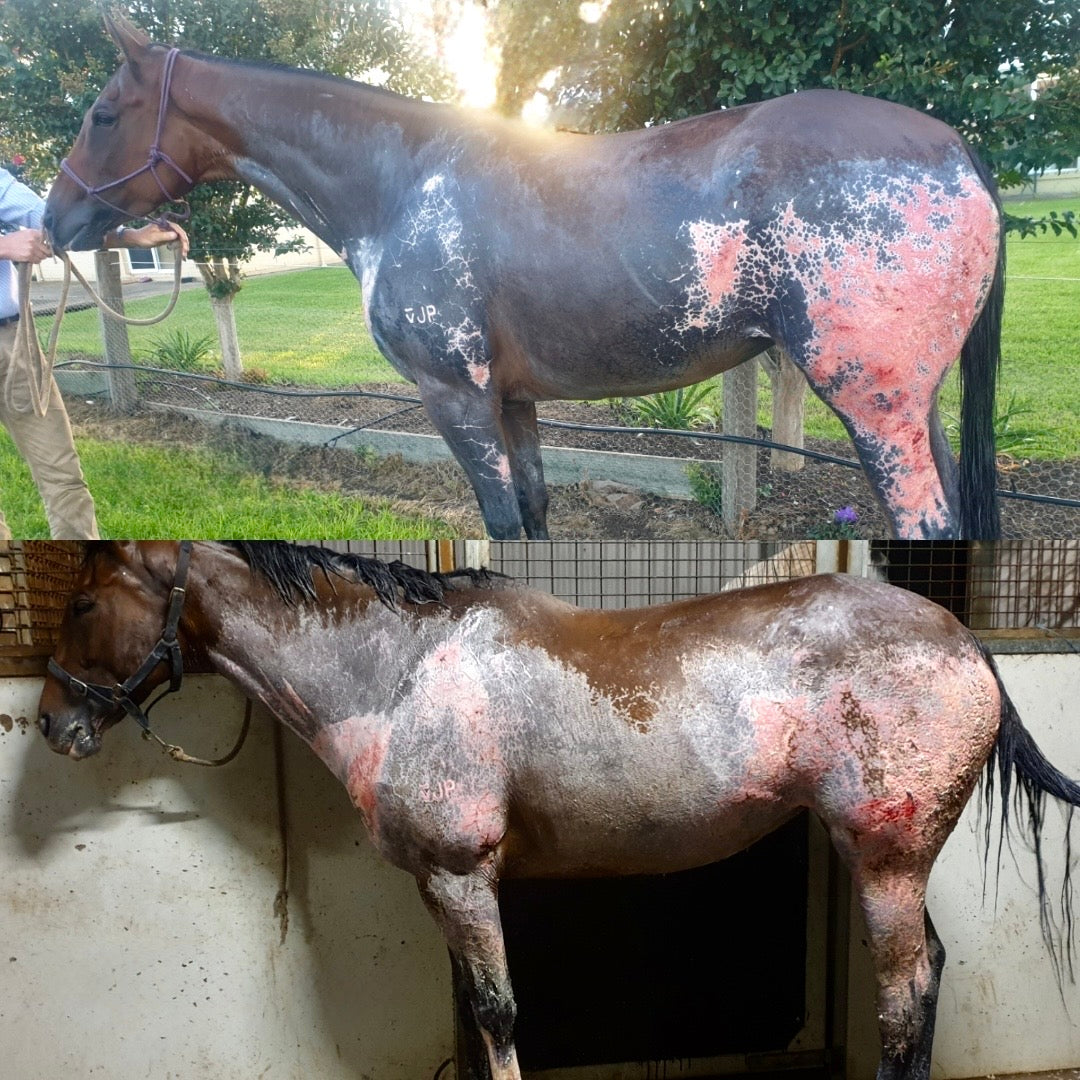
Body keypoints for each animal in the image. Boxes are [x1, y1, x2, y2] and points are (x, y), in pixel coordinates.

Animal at [37, 541, 1078, 1080]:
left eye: (83, 603)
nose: (50, 723)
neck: (396, 672)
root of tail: (964, 641)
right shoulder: (440, 890)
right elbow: (471, 1017)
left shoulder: (463, 875)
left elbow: (498, 1014)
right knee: (925, 979)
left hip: (885, 859)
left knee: (906, 993)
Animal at [42, 14, 1005, 541]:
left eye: (104, 114)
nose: (56, 222)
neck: (404, 182)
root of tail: (954, 149)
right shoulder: (513, 399)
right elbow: (536, 518)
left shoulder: (454, 396)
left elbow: (501, 522)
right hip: (914, 404)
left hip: (873, 403)